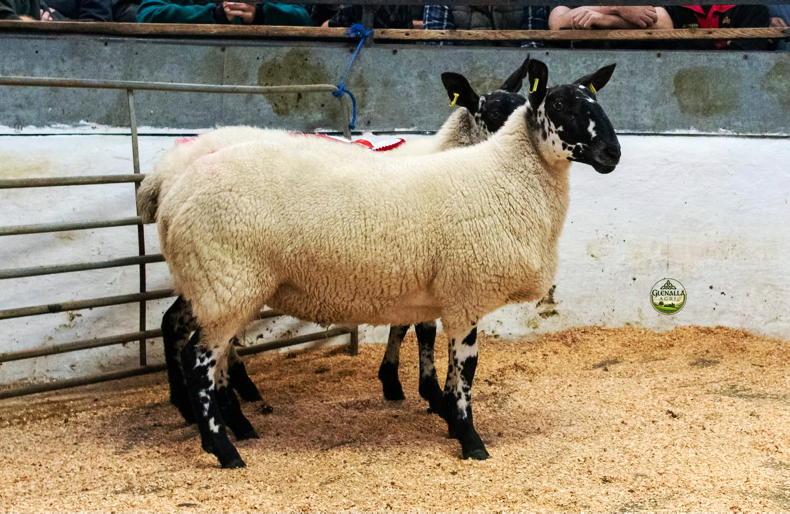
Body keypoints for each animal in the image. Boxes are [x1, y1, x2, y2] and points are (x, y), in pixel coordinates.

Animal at [156, 58, 620, 468]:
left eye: (595, 101)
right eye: (558, 105)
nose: (612, 153)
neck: (501, 175)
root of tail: (172, 190)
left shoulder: (435, 291)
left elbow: (432, 346)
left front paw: (435, 407)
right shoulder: (464, 293)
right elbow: (464, 368)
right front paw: (468, 437)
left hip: (215, 283)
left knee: (192, 339)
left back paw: (223, 422)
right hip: (226, 280)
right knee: (200, 358)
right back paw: (224, 446)